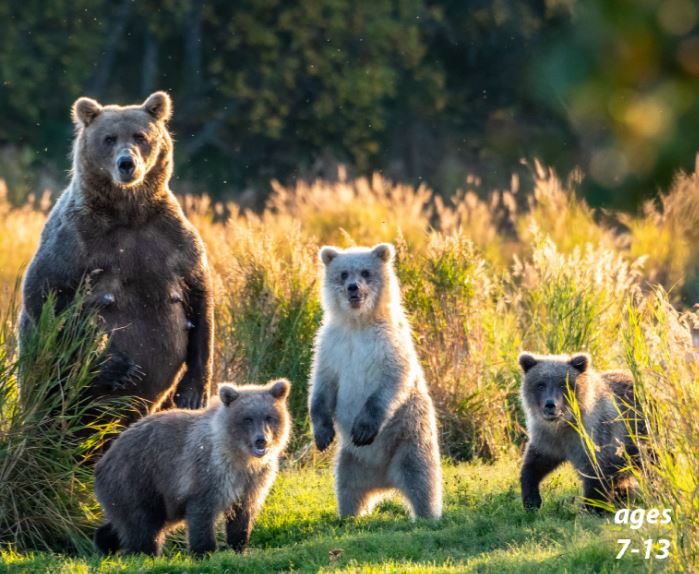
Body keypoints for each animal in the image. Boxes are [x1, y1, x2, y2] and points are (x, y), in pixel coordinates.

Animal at [21, 93, 213, 418]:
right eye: (109, 138)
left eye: (140, 136)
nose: (127, 163)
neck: (127, 212)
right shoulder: (75, 239)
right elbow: (45, 295)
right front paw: (118, 366)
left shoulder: (171, 237)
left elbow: (200, 296)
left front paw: (192, 393)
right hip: (46, 382)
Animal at [94, 380, 292, 556]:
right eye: (247, 419)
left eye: (269, 417)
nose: (261, 440)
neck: (240, 457)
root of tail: (103, 459)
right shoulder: (208, 471)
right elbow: (202, 513)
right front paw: (205, 552)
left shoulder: (253, 480)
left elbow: (243, 515)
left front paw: (239, 547)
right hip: (137, 478)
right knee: (143, 524)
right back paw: (145, 554)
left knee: (127, 522)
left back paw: (105, 543)